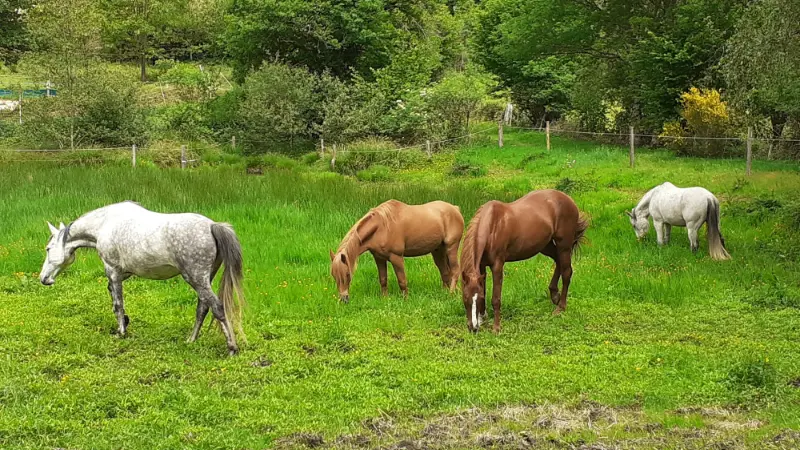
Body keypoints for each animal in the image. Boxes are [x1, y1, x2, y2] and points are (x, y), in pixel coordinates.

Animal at [40, 201, 245, 356]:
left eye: (48, 249)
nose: (44, 278)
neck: (105, 224)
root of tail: (212, 226)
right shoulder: (122, 273)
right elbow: (113, 296)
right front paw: (125, 322)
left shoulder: (112, 270)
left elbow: (118, 303)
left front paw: (121, 332)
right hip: (204, 279)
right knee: (202, 307)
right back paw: (191, 340)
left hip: (196, 279)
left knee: (216, 307)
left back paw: (232, 348)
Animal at [328, 200, 462, 302]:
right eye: (334, 275)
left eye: (347, 274)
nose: (344, 299)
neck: (382, 227)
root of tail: (455, 209)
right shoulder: (379, 258)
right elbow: (383, 279)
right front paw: (385, 299)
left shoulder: (396, 257)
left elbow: (402, 280)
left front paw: (405, 300)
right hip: (438, 251)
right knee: (445, 272)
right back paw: (445, 293)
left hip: (451, 247)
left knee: (455, 270)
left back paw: (450, 294)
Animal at [456, 190, 588, 334]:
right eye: (465, 298)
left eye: (477, 299)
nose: (473, 327)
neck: (493, 226)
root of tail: (569, 200)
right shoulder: (481, 266)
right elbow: (484, 290)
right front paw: (482, 318)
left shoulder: (497, 265)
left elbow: (495, 298)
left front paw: (496, 328)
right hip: (546, 245)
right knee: (558, 261)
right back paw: (554, 296)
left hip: (564, 245)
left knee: (567, 272)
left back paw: (560, 307)